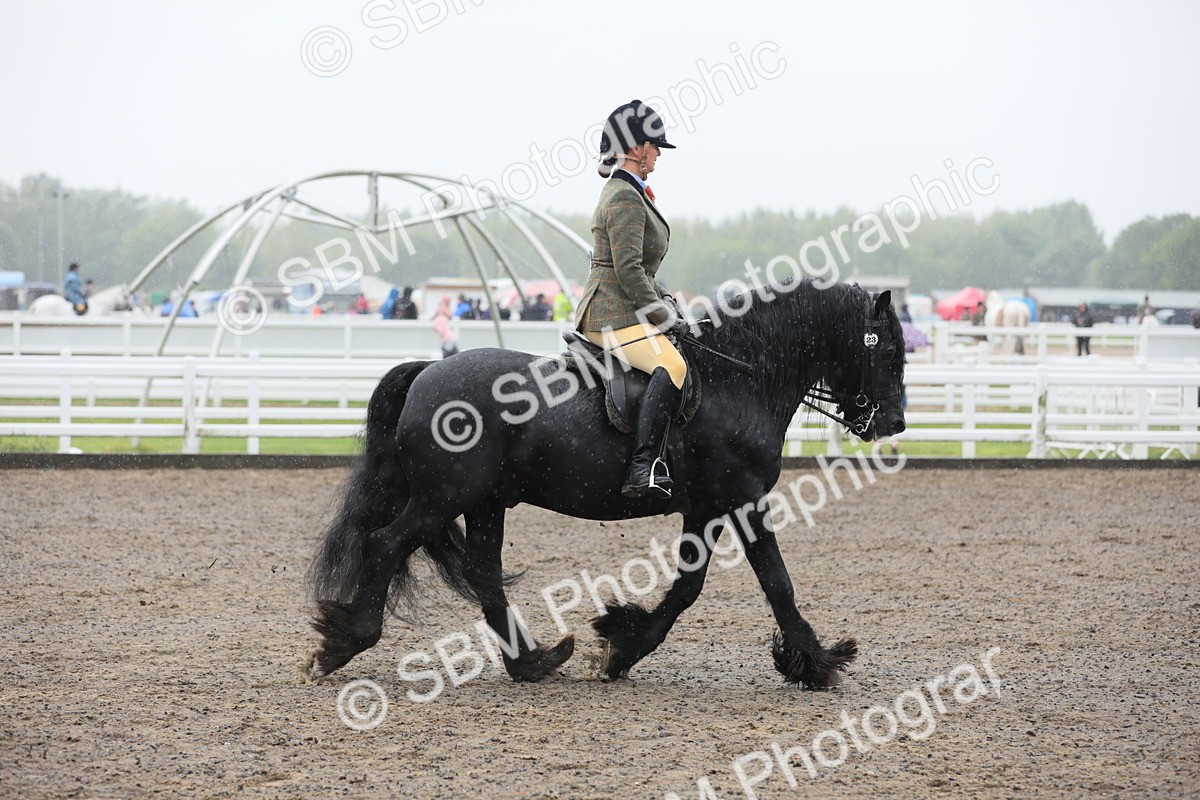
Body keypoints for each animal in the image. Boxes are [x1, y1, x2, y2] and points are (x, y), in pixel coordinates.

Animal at [305, 280, 907, 689]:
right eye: (887, 351)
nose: (895, 424)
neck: (740, 379)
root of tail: (428, 371)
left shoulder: (708, 509)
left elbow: (690, 587)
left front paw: (624, 645)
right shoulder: (742, 500)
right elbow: (775, 582)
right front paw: (818, 663)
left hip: (486, 501)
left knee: (483, 573)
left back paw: (532, 661)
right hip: (442, 498)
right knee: (385, 544)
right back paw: (345, 643)